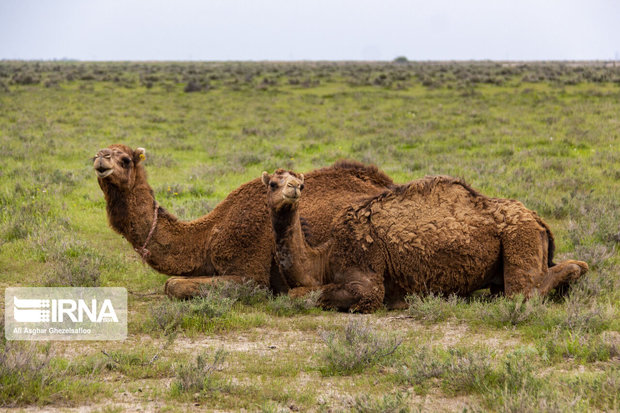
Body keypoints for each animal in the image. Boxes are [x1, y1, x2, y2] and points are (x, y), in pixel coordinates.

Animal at [92, 144, 392, 296]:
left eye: (125, 159)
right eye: (95, 154)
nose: (100, 160)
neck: (207, 235)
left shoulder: (250, 272)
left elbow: (173, 284)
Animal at [262, 169, 592, 310]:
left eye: (301, 183)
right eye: (273, 183)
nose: (293, 189)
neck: (324, 258)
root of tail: (539, 220)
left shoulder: (363, 272)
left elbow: (302, 294)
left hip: (518, 236)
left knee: (523, 292)